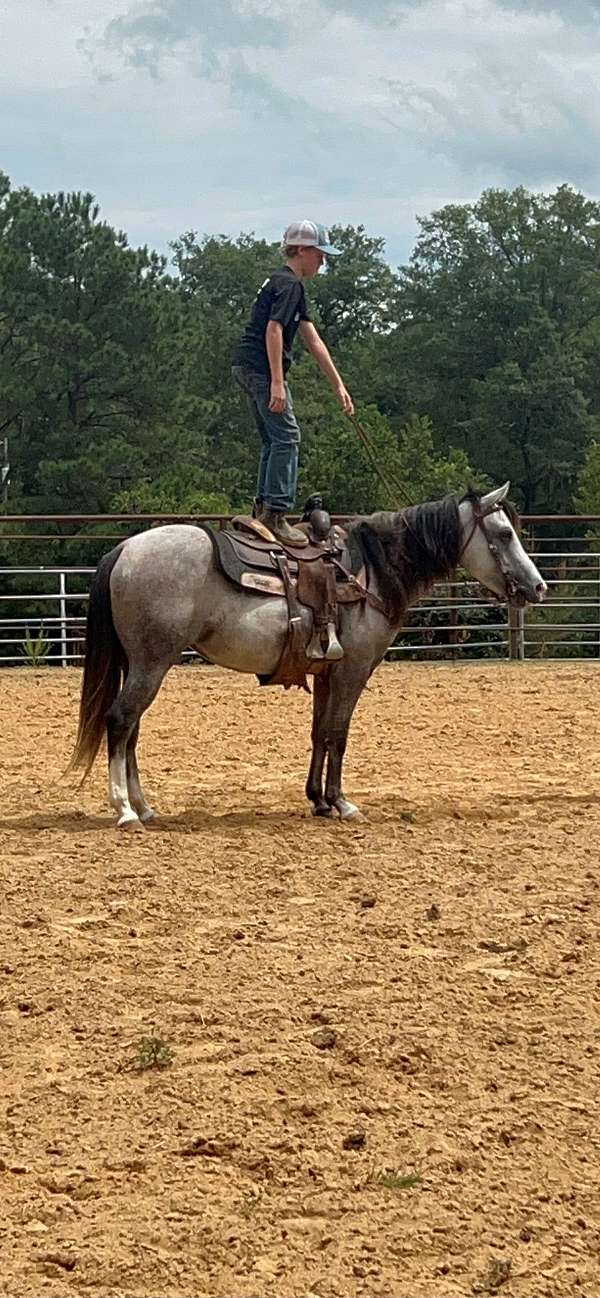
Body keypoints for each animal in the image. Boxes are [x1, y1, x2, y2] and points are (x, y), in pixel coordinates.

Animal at [71, 482, 548, 825]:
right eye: (504, 533)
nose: (538, 586)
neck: (370, 572)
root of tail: (125, 549)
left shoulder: (326, 672)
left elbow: (319, 733)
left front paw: (318, 801)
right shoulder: (354, 669)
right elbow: (339, 733)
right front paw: (342, 803)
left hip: (141, 664)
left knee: (131, 729)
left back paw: (144, 806)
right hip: (151, 663)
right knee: (120, 720)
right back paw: (125, 810)